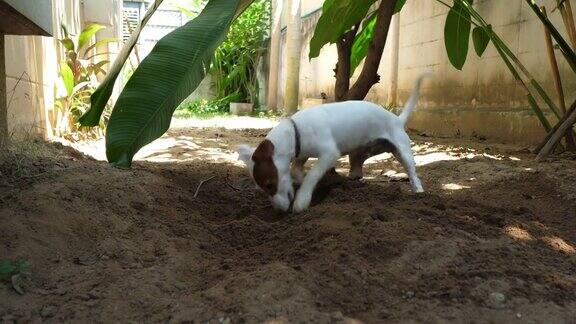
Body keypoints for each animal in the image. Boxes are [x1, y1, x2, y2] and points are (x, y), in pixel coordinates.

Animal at [236, 73, 430, 213]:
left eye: (269, 184)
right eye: (261, 188)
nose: (279, 210)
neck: (295, 130)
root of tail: (397, 119)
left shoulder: (329, 154)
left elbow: (313, 174)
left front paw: (302, 198)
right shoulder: (301, 154)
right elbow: (296, 170)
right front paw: (300, 179)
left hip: (402, 150)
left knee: (412, 172)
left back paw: (419, 192)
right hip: (365, 151)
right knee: (358, 165)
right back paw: (354, 177)